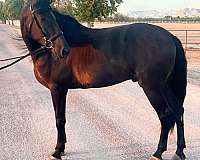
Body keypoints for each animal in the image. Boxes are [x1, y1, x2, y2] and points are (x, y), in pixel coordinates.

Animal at [19, 0, 187, 159]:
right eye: (42, 17)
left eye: (52, 16)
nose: (64, 50)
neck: (48, 53)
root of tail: (170, 37)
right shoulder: (62, 89)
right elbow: (62, 118)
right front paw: (62, 147)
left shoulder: (57, 89)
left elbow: (59, 119)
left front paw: (58, 150)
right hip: (165, 86)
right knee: (178, 110)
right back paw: (179, 151)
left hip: (152, 88)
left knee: (165, 115)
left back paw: (158, 153)